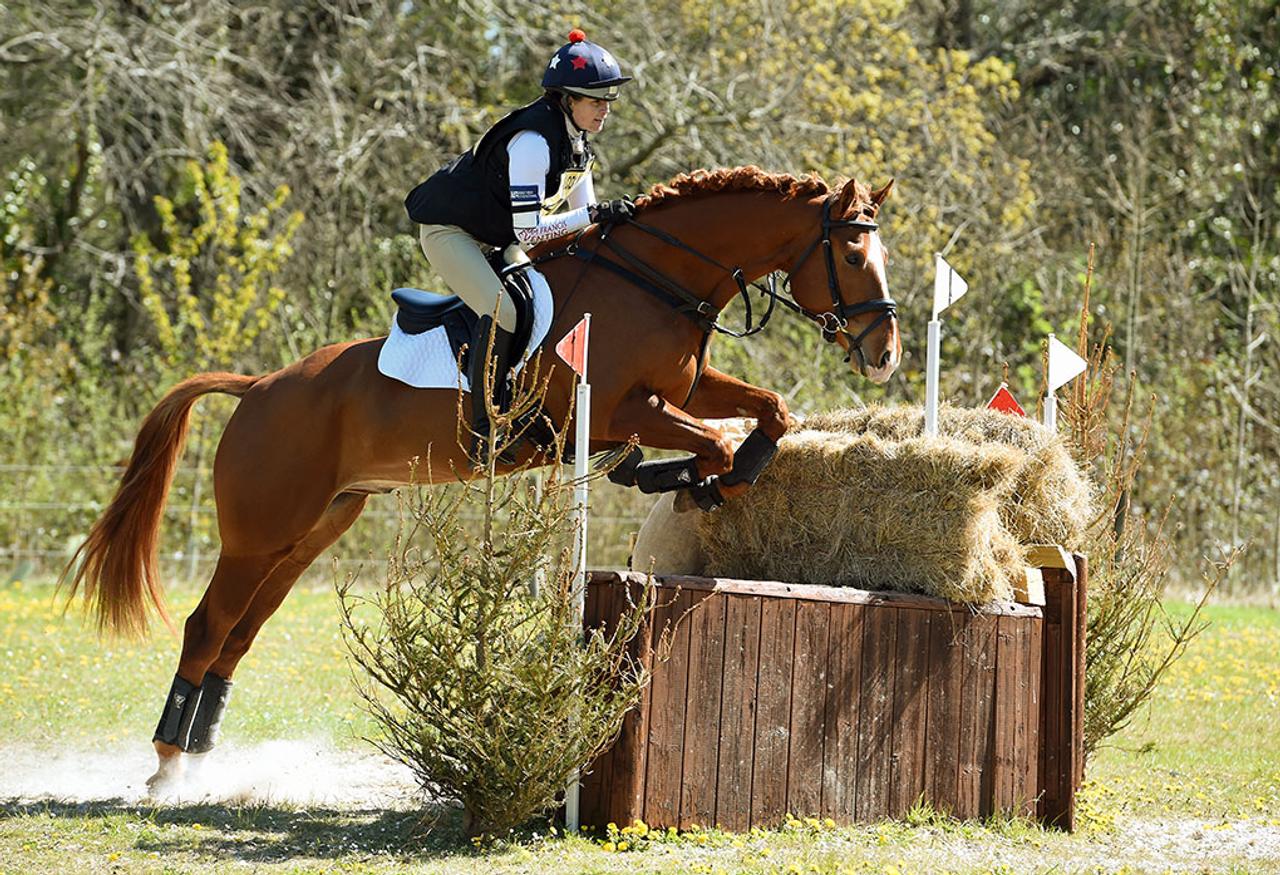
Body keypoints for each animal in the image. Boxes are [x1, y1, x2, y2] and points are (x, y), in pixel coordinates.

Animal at [63, 165, 900, 790]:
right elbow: (714, 444)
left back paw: (199, 758)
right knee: (209, 626)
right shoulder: (614, 408)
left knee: (241, 631)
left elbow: (770, 411)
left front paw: (715, 475)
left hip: (312, 531)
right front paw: (687, 479)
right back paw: (166, 767)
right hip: (259, 533)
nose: (885, 352)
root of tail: (258, 386)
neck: (658, 278)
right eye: (853, 256)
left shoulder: (681, 391)